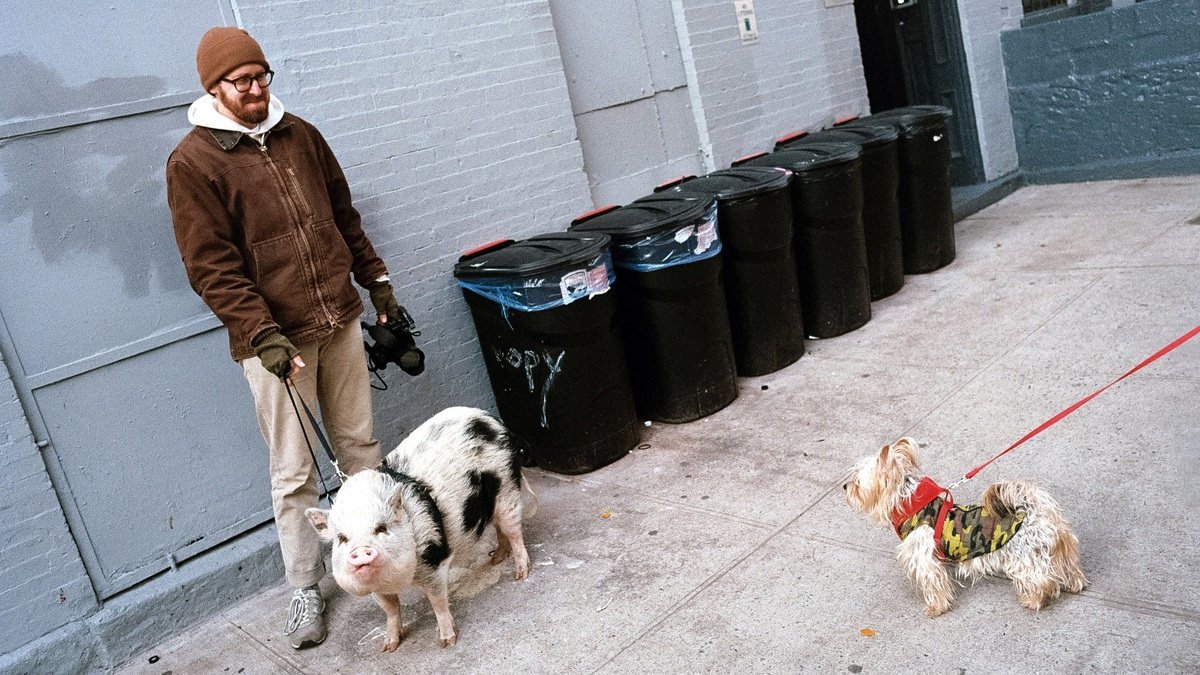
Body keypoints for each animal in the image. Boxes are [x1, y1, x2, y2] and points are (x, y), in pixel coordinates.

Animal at [307, 403, 532, 648]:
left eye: (381, 528)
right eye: (342, 538)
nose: (361, 550)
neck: (396, 580)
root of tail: (491, 419)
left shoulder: (433, 561)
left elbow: (437, 601)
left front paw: (447, 642)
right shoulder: (375, 589)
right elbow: (391, 609)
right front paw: (389, 647)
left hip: (507, 488)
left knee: (513, 531)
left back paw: (521, 574)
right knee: (499, 527)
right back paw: (495, 559)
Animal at [844, 437, 1089, 614]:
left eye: (858, 482)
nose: (845, 487)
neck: (910, 503)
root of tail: (1033, 510)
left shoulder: (925, 563)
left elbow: (934, 586)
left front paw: (936, 609)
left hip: (1024, 560)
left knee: (1042, 580)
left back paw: (1034, 599)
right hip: (1062, 548)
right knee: (1069, 568)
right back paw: (1074, 584)